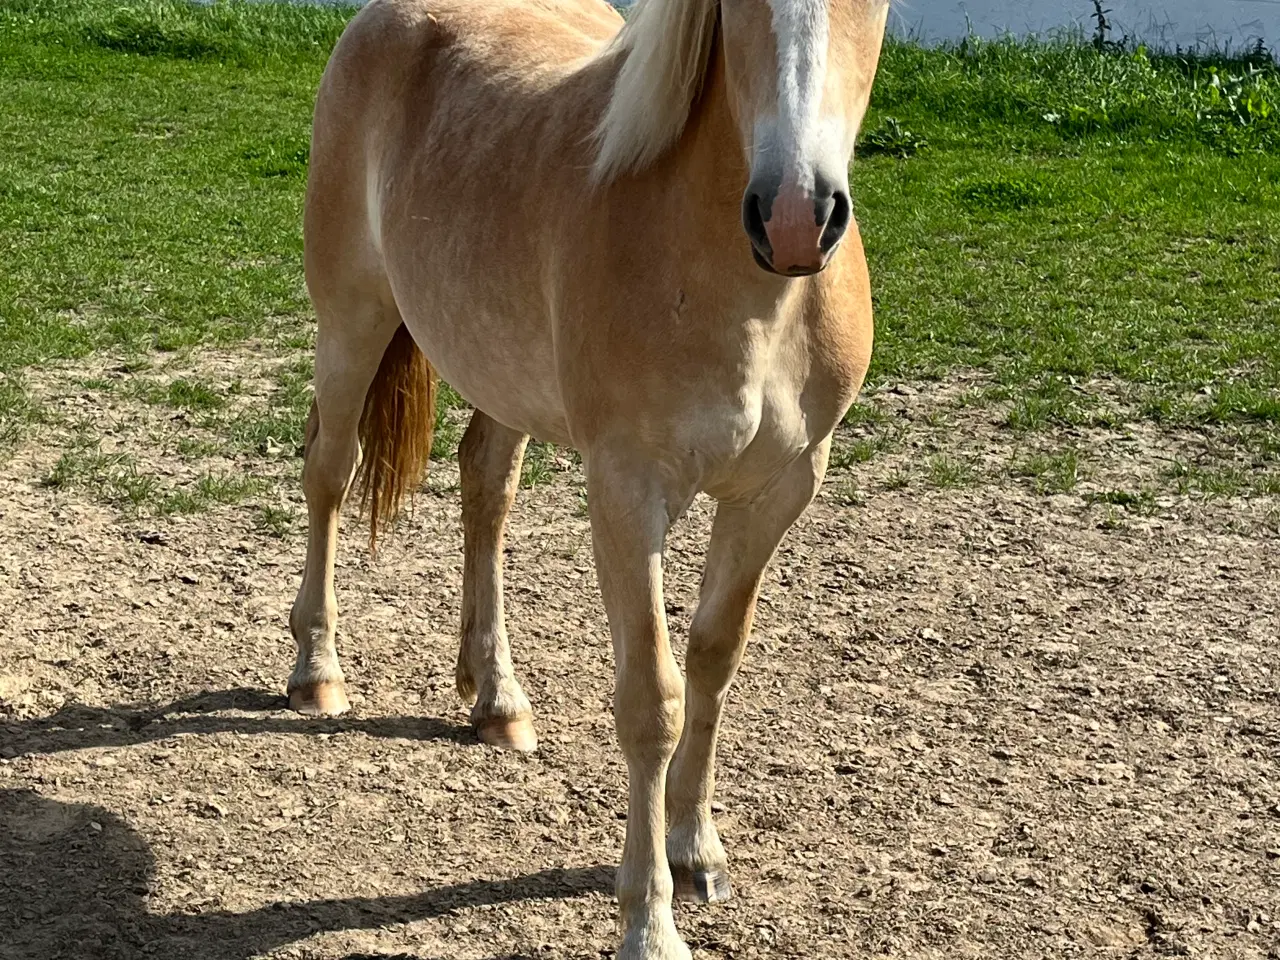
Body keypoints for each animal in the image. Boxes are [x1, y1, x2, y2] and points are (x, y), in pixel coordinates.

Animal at [290, 0, 890, 957]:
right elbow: (652, 700)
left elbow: (714, 661)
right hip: (352, 318)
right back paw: (317, 670)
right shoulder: (626, 492)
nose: (797, 218)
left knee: (485, 488)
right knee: (330, 474)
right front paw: (649, 922)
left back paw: (496, 698)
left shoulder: (779, 490)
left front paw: (696, 847)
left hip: (499, 373)